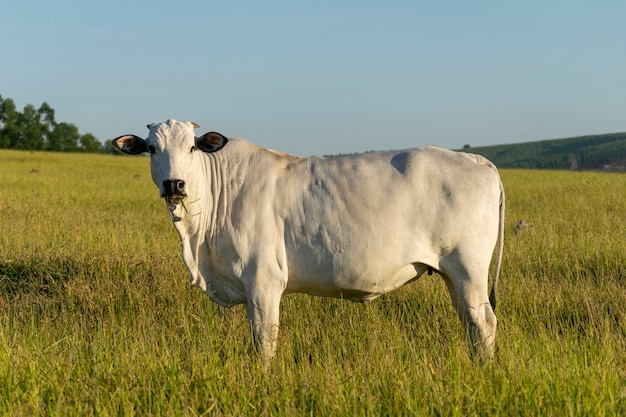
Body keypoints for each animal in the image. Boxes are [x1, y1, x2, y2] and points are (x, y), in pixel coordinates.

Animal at [112, 118, 502, 362]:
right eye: (151, 148)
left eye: (192, 148)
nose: (174, 184)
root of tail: (475, 158)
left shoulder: (264, 282)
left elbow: (264, 342)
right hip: (453, 275)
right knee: (469, 323)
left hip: (468, 268)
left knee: (484, 322)